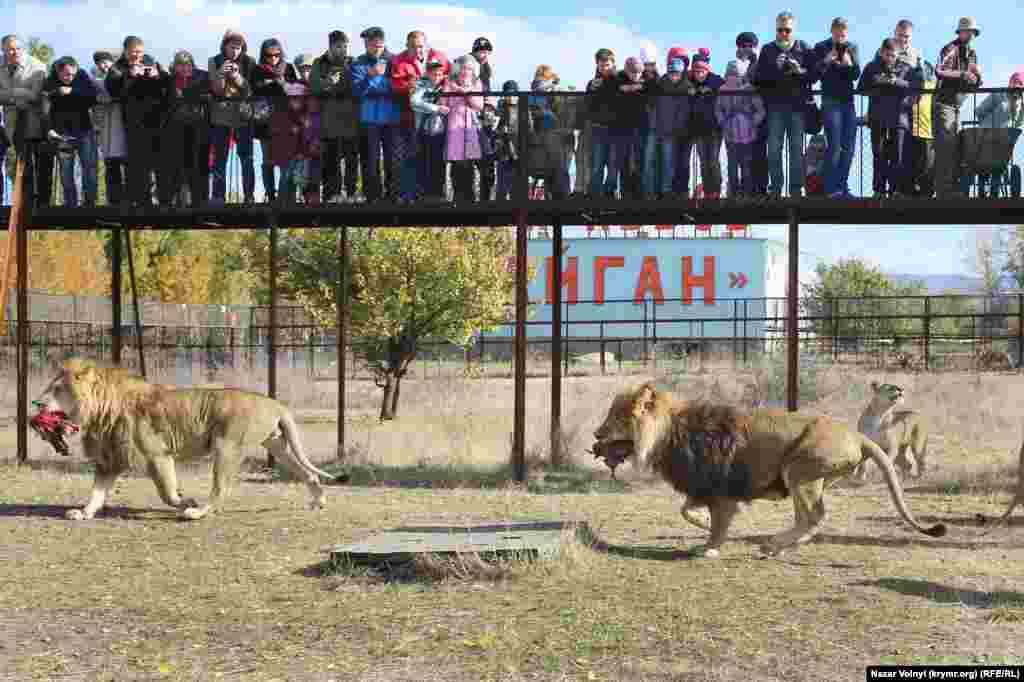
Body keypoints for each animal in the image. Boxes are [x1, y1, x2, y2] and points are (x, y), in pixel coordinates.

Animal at [32, 356, 346, 520]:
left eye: (58, 389)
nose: (36, 403)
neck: (100, 409)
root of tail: (275, 404)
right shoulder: (110, 460)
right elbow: (97, 492)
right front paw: (84, 513)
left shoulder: (157, 454)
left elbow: (167, 493)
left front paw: (186, 502)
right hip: (278, 446)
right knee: (309, 474)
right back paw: (318, 502)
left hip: (226, 446)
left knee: (221, 489)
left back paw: (197, 512)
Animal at [598, 378, 946, 557]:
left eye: (616, 418)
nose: (596, 436)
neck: (669, 433)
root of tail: (857, 436)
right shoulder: (703, 485)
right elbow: (686, 510)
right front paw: (701, 524)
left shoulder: (720, 489)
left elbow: (719, 523)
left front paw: (709, 547)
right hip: (805, 480)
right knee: (807, 519)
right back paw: (777, 546)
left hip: (801, 470)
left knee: (816, 517)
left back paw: (773, 544)